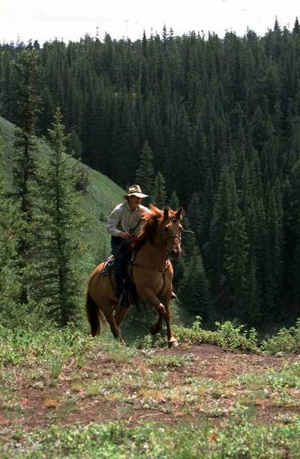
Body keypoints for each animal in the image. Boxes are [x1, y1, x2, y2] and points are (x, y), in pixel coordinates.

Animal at [85, 205, 183, 348]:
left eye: (180, 228)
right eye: (166, 228)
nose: (176, 252)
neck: (156, 264)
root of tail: (91, 278)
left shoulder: (166, 291)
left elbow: (167, 313)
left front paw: (171, 340)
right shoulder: (146, 292)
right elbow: (161, 308)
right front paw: (154, 329)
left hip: (123, 305)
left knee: (116, 322)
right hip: (105, 306)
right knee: (112, 324)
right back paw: (121, 343)